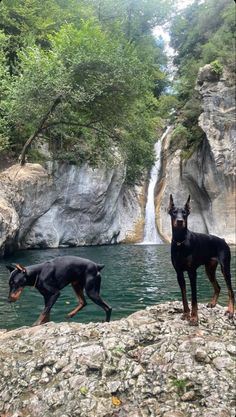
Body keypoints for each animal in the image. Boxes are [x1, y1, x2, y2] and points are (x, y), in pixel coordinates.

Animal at [168, 193, 234, 324]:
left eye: (184, 213)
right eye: (174, 212)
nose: (180, 221)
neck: (180, 242)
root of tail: (223, 240)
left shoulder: (192, 272)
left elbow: (194, 298)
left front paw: (194, 317)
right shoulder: (179, 273)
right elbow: (184, 296)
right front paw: (186, 314)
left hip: (225, 268)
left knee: (231, 291)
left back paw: (230, 311)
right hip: (209, 269)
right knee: (218, 287)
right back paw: (213, 303)